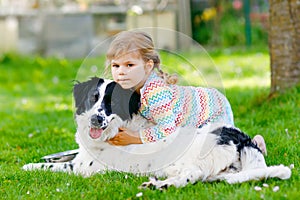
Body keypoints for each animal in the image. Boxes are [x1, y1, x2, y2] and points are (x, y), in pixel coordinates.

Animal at [22, 77, 290, 189]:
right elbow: (59, 158)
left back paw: (162, 186)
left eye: (111, 103)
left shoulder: (83, 168)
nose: (97, 119)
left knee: (192, 175)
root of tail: (242, 140)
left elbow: (50, 167)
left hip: (192, 159)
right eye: (93, 97)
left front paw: (26, 166)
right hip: (219, 174)